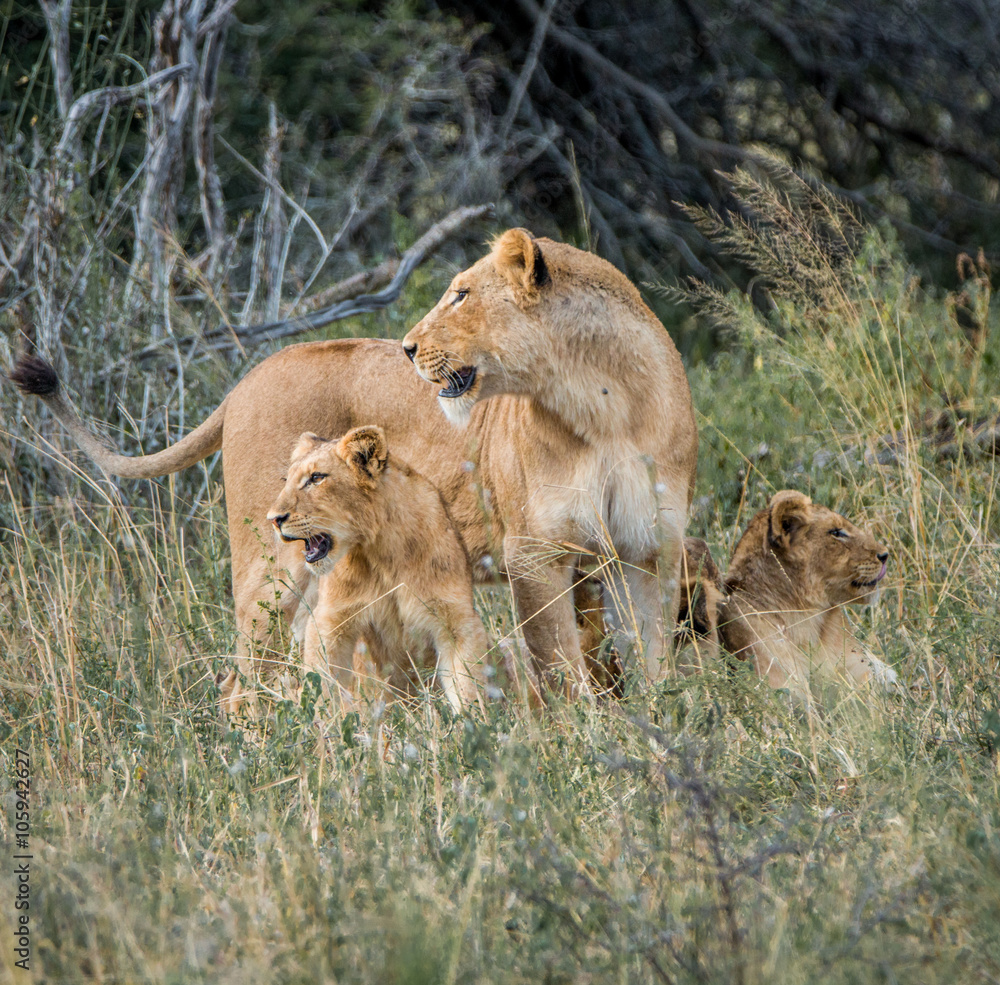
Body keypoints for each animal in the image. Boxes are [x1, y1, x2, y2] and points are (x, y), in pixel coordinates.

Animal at [267, 426, 487, 712]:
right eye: (286, 480)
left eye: (316, 478)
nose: (273, 519)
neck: (382, 554)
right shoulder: (329, 620)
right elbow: (324, 682)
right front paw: (326, 721)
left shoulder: (458, 620)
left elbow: (469, 686)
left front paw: (476, 720)